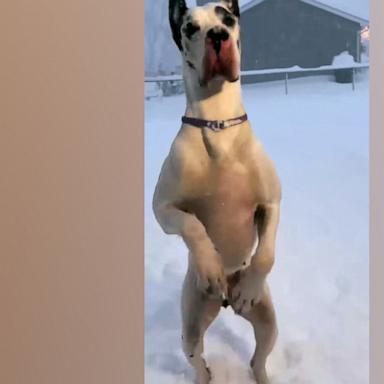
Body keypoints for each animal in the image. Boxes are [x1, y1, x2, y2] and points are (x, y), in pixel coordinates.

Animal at [152, 1, 280, 382]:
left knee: (258, 358)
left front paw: (249, 284)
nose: (218, 36)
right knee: (198, 358)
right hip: (192, 325)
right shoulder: (163, 208)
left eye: (228, 18)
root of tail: (222, 304)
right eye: (189, 28)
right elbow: (193, 226)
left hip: (267, 321)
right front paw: (210, 265)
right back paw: (204, 373)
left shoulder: (271, 201)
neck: (217, 121)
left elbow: (265, 254)